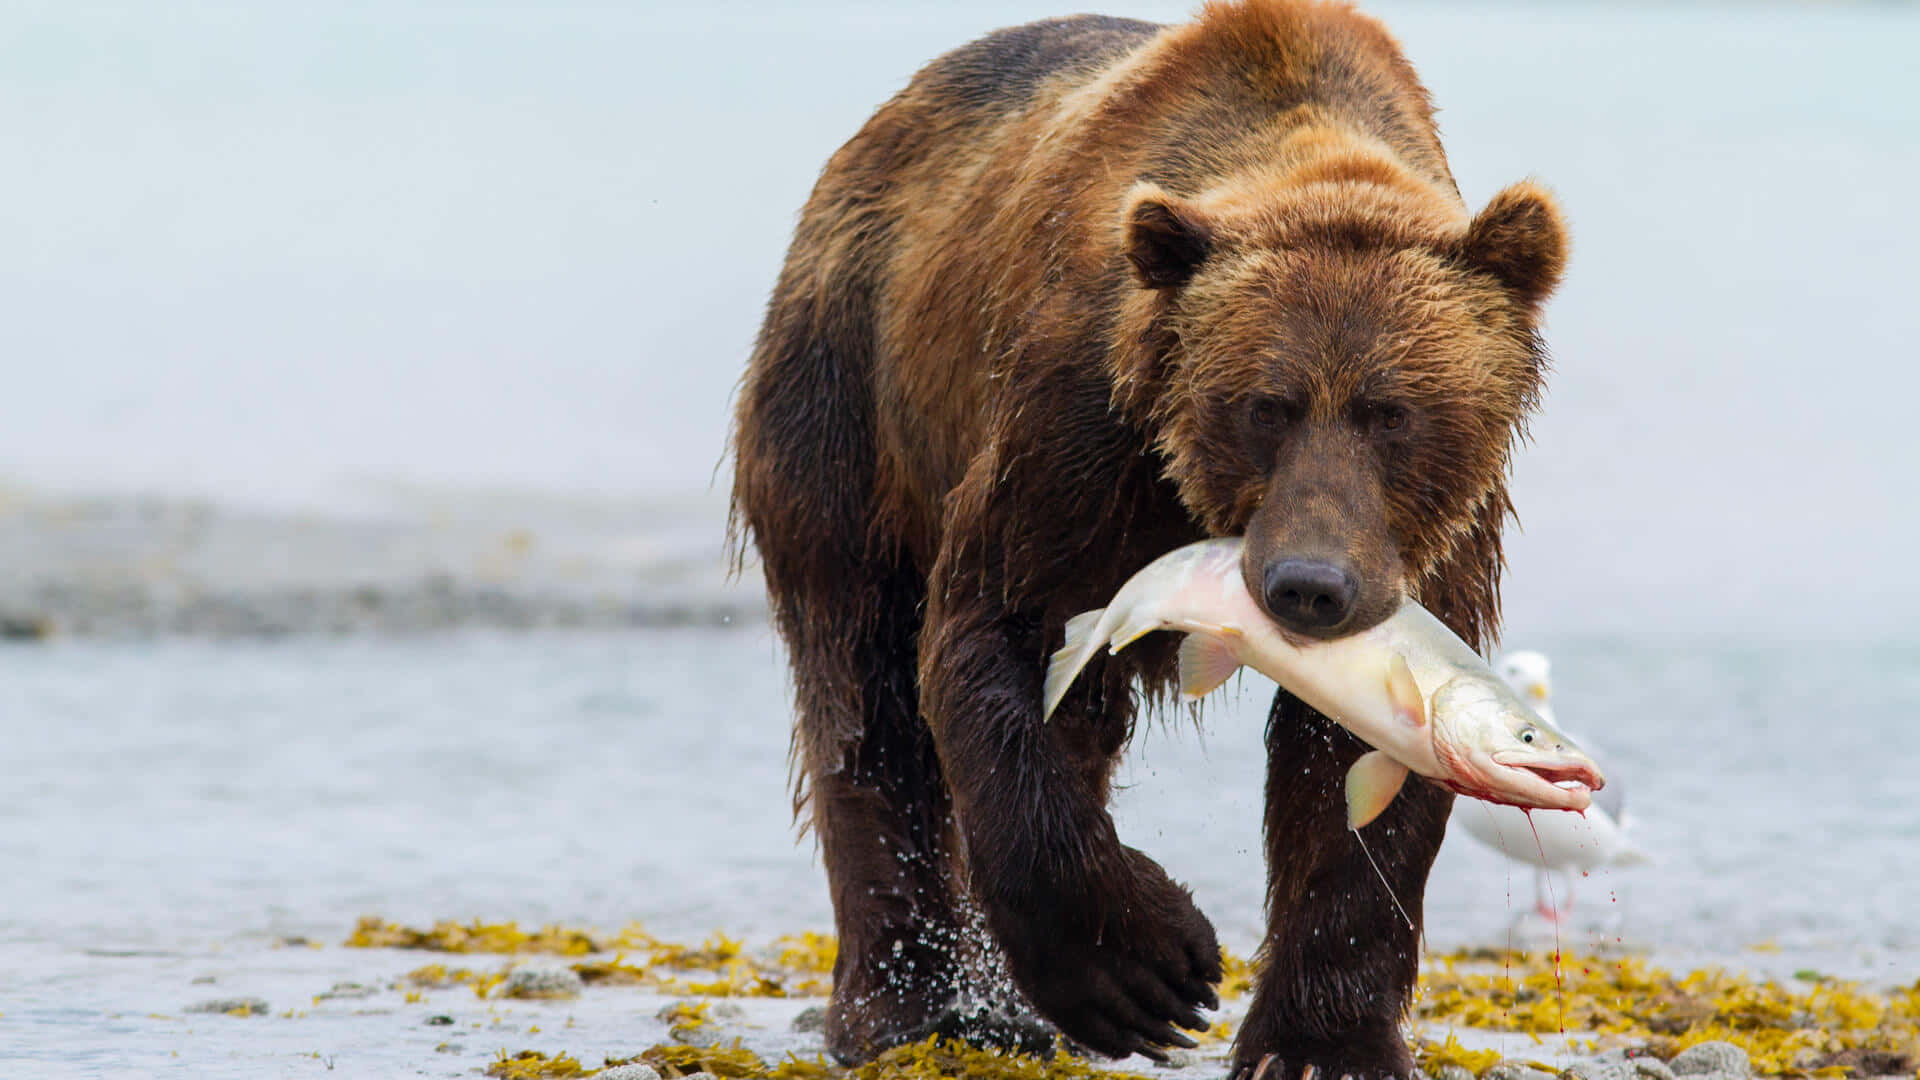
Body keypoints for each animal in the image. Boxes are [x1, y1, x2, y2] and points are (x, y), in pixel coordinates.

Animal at [729, 2, 1567, 1076]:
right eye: (1265, 405)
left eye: (1394, 413)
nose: (1311, 585)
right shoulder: (1077, 426)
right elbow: (999, 629)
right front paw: (1146, 969)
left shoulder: (1433, 541)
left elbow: (1345, 769)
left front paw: (1322, 1041)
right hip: (847, 397)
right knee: (863, 687)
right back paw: (914, 1009)